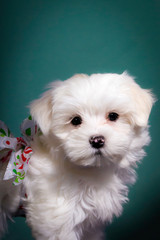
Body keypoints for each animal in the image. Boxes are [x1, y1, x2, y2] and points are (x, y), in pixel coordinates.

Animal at [0, 71, 154, 240]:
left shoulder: (91, 227)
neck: (89, 171)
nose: (97, 140)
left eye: (113, 116)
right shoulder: (55, 221)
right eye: (75, 120)